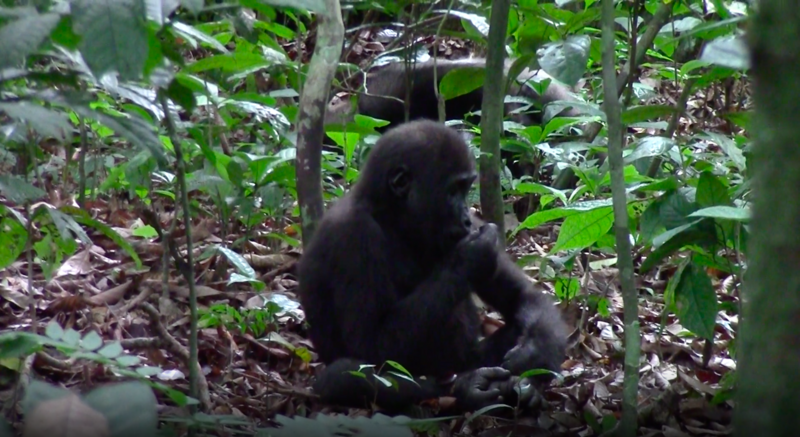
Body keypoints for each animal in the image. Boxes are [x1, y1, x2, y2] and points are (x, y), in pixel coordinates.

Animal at [298, 119, 568, 412]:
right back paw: (466, 387)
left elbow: (522, 295)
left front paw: (535, 355)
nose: (465, 218)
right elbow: (369, 344)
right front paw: (472, 256)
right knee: (344, 376)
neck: (389, 216)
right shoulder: (354, 235)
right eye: (453, 190)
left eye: (465, 189)